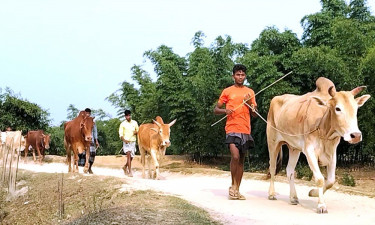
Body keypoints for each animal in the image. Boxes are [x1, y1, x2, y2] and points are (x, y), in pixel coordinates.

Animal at [268, 77, 372, 213]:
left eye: (356, 109)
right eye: (338, 108)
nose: (356, 135)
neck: (323, 127)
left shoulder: (333, 153)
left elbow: (331, 180)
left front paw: (313, 193)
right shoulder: (309, 151)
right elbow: (320, 178)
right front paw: (321, 205)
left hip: (294, 148)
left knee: (289, 170)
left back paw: (293, 198)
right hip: (273, 142)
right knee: (272, 167)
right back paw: (271, 194)